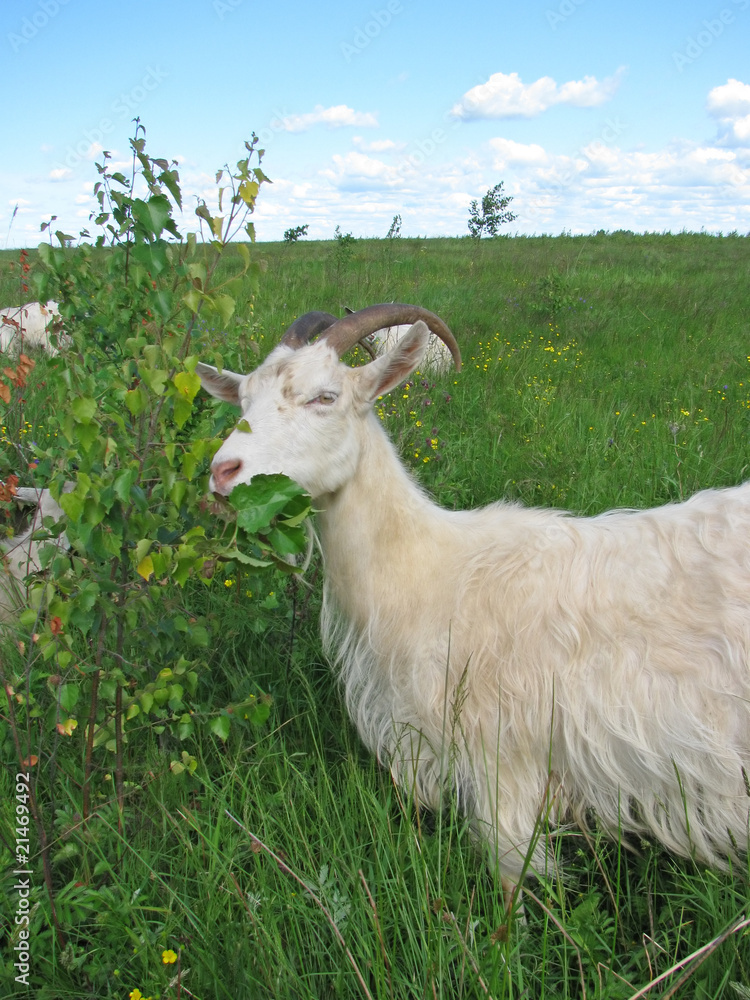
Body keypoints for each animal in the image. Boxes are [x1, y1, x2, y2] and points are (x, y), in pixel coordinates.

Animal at [197, 303, 750, 896]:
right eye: (243, 401)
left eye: (325, 397)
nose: (222, 472)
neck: (433, 573)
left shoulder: (502, 759)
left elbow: (508, 876)